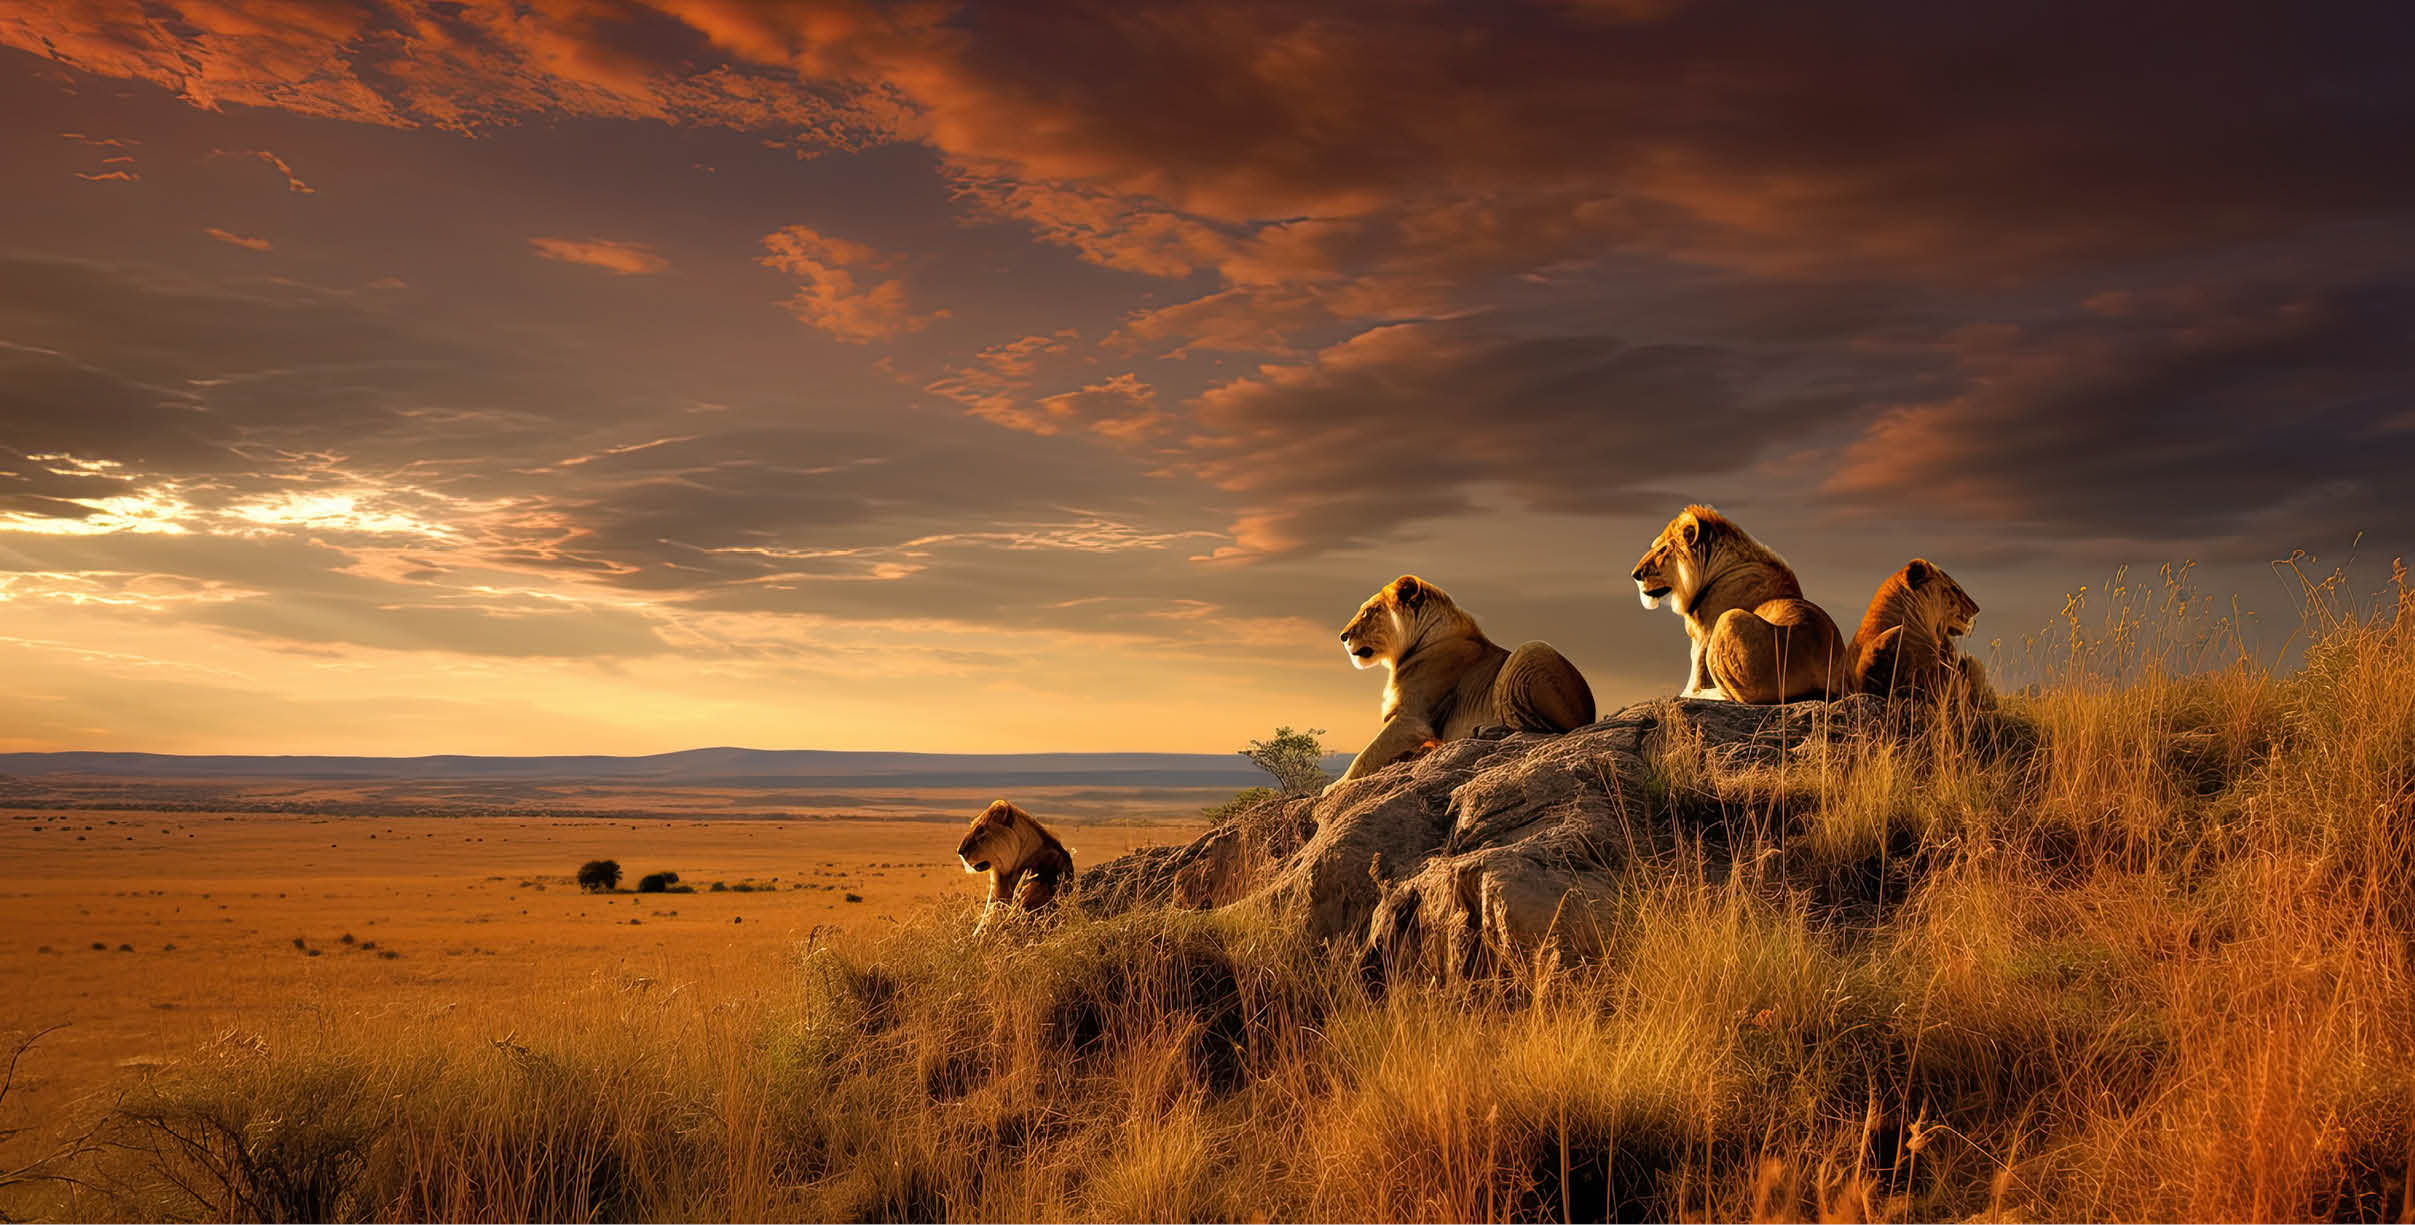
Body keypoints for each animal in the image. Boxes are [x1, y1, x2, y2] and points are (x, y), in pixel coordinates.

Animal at [1332, 574, 1595, 789]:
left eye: (1370, 610)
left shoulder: (1412, 718)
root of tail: (1589, 714)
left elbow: (1365, 755)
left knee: (1541, 727)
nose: (1343, 636)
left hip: (1530, 649)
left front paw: (1334, 787)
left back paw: (1486, 730)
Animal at [1629, 505, 1850, 703]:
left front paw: (1689, 692)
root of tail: (1828, 679)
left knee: (1736, 696)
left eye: (1662, 550)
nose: (1635, 574)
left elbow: (1696, 674)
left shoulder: (1705, 635)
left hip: (1729, 618)